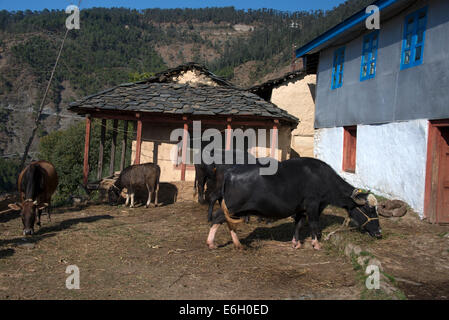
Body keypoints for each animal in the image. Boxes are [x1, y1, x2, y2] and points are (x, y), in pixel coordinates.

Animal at [205, 158, 380, 250]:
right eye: (368, 209)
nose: (379, 233)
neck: (323, 179)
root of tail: (230, 172)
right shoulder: (313, 205)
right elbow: (313, 224)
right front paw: (316, 243)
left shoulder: (301, 209)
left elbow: (299, 224)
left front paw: (296, 243)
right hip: (232, 206)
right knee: (217, 217)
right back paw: (211, 243)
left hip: (236, 210)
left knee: (228, 222)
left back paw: (237, 244)